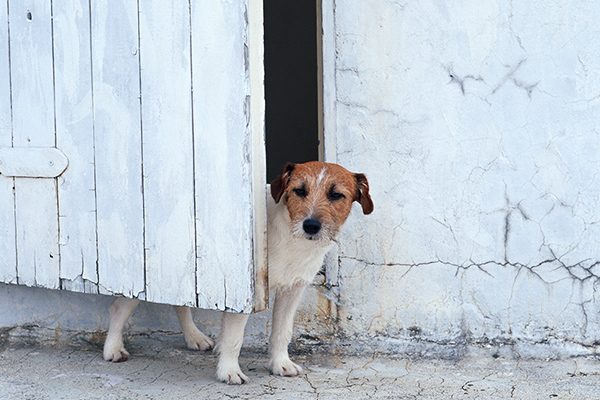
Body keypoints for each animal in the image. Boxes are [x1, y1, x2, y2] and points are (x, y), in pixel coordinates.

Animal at [104, 162, 376, 384]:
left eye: (336, 195)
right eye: (299, 191)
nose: (311, 225)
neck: (292, 239)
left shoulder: (292, 290)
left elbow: (282, 332)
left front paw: (280, 364)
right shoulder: (245, 295)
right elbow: (234, 338)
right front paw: (229, 371)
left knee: (179, 304)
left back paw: (194, 337)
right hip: (143, 277)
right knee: (119, 307)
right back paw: (113, 348)